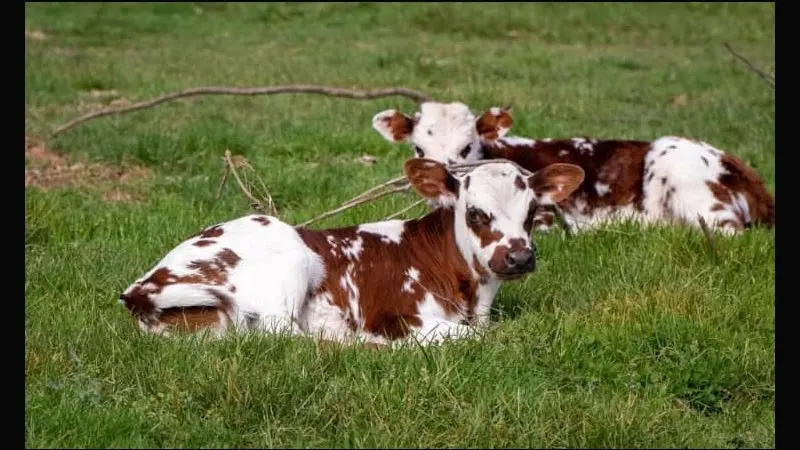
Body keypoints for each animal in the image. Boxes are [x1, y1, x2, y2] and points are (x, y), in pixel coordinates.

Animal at [120, 158, 580, 348]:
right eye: (476, 212)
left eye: (532, 212)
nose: (519, 258)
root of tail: (141, 287)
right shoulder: (398, 315)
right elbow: (480, 337)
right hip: (286, 257)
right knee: (290, 340)